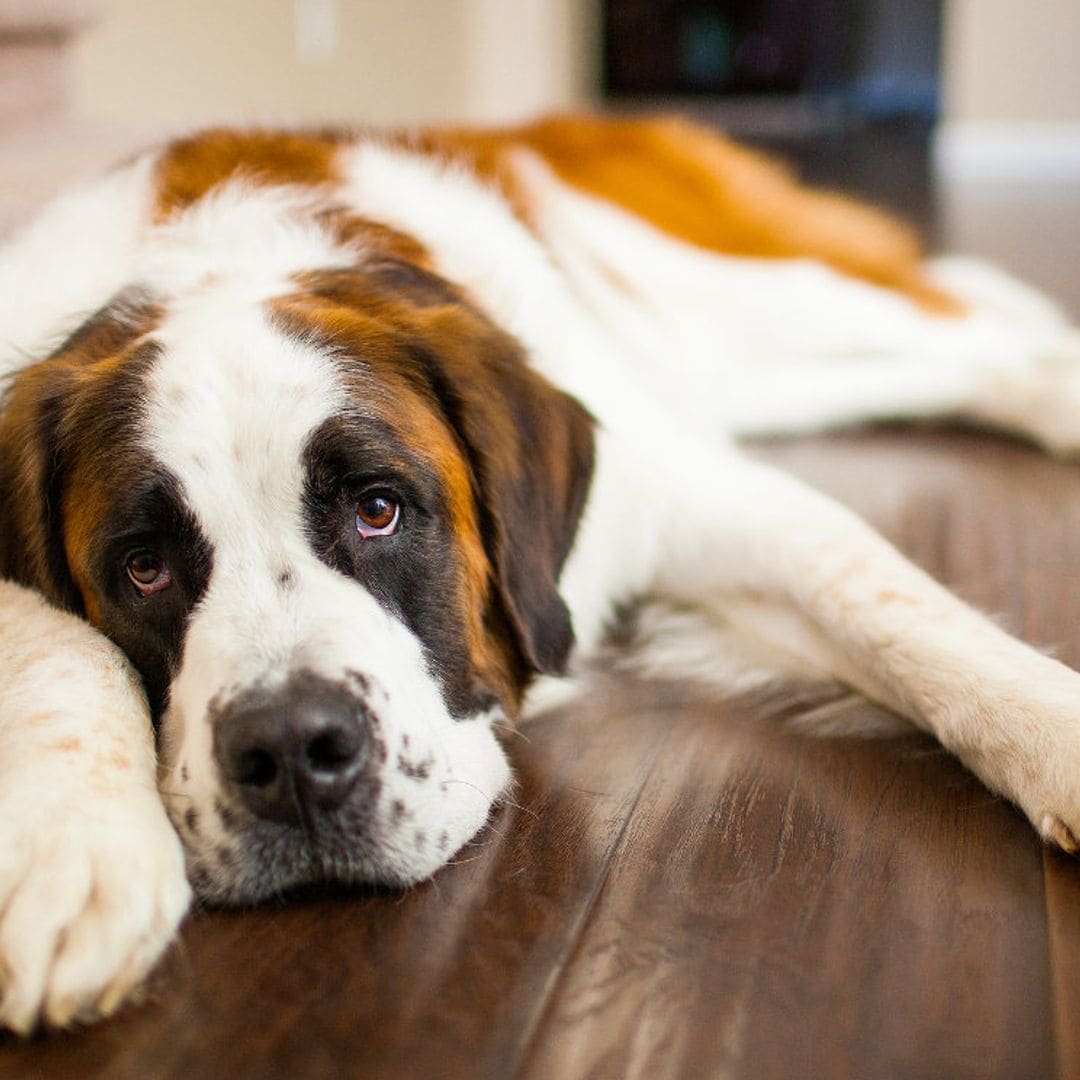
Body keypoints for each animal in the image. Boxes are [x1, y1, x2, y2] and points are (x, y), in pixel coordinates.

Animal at [2, 113, 1080, 1032]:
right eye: (144, 569)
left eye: (378, 509)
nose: (292, 753)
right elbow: (60, 642)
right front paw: (76, 852)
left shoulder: (690, 497)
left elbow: (886, 600)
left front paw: (1053, 728)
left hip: (743, 299)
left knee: (954, 303)